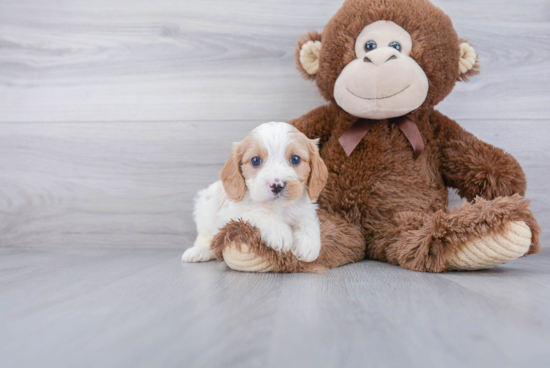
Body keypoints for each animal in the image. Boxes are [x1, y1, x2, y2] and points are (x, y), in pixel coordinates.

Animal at [182, 122, 328, 264]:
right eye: (255, 160)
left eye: (295, 159)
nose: (277, 185)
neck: (278, 207)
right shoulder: (228, 216)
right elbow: (259, 211)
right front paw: (279, 232)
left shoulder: (305, 210)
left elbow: (308, 221)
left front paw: (308, 244)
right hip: (205, 207)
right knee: (206, 237)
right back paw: (198, 251)